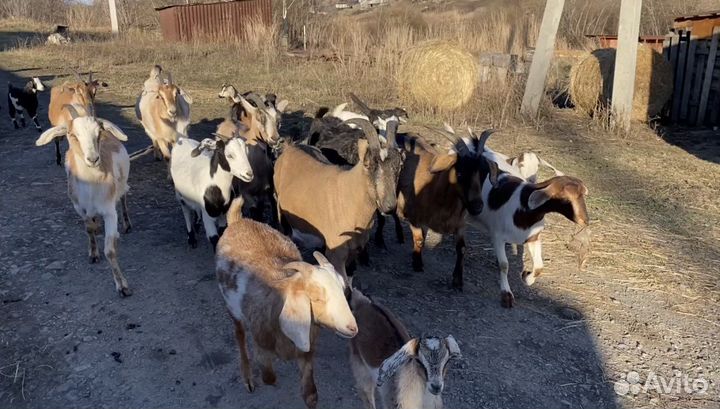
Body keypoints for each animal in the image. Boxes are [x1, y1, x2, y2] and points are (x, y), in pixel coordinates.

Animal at [35, 105, 132, 296]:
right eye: (72, 134)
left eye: (98, 133)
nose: (93, 159)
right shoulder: (79, 207)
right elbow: (89, 228)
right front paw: (93, 253)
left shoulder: (109, 210)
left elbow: (110, 250)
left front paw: (122, 285)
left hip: (123, 182)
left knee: (123, 197)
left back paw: (126, 224)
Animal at [216, 199, 357, 409]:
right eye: (316, 297)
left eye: (343, 289)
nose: (352, 327)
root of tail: (239, 220)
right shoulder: (262, 348)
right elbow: (269, 378)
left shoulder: (307, 350)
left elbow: (311, 395)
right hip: (233, 310)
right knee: (239, 335)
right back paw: (247, 376)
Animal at [274, 118, 403, 281]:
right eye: (367, 164)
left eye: (399, 165)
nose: (389, 206)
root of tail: (290, 147)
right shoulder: (336, 253)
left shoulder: (354, 252)